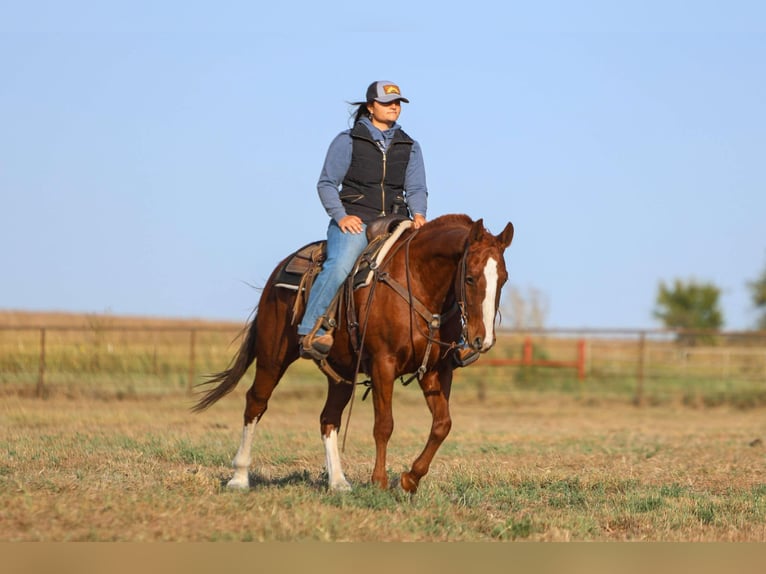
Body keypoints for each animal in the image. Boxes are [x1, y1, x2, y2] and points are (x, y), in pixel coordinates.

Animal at [193, 213, 514, 493]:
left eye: (504, 278)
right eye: (470, 278)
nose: (482, 339)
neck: (417, 282)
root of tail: (279, 271)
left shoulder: (437, 370)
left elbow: (442, 425)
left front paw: (409, 479)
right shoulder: (384, 364)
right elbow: (384, 424)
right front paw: (379, 481)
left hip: (341, 374)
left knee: (328, 418)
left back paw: (338, 483)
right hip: (273, 356)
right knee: (256, 402)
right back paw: (239, 477)